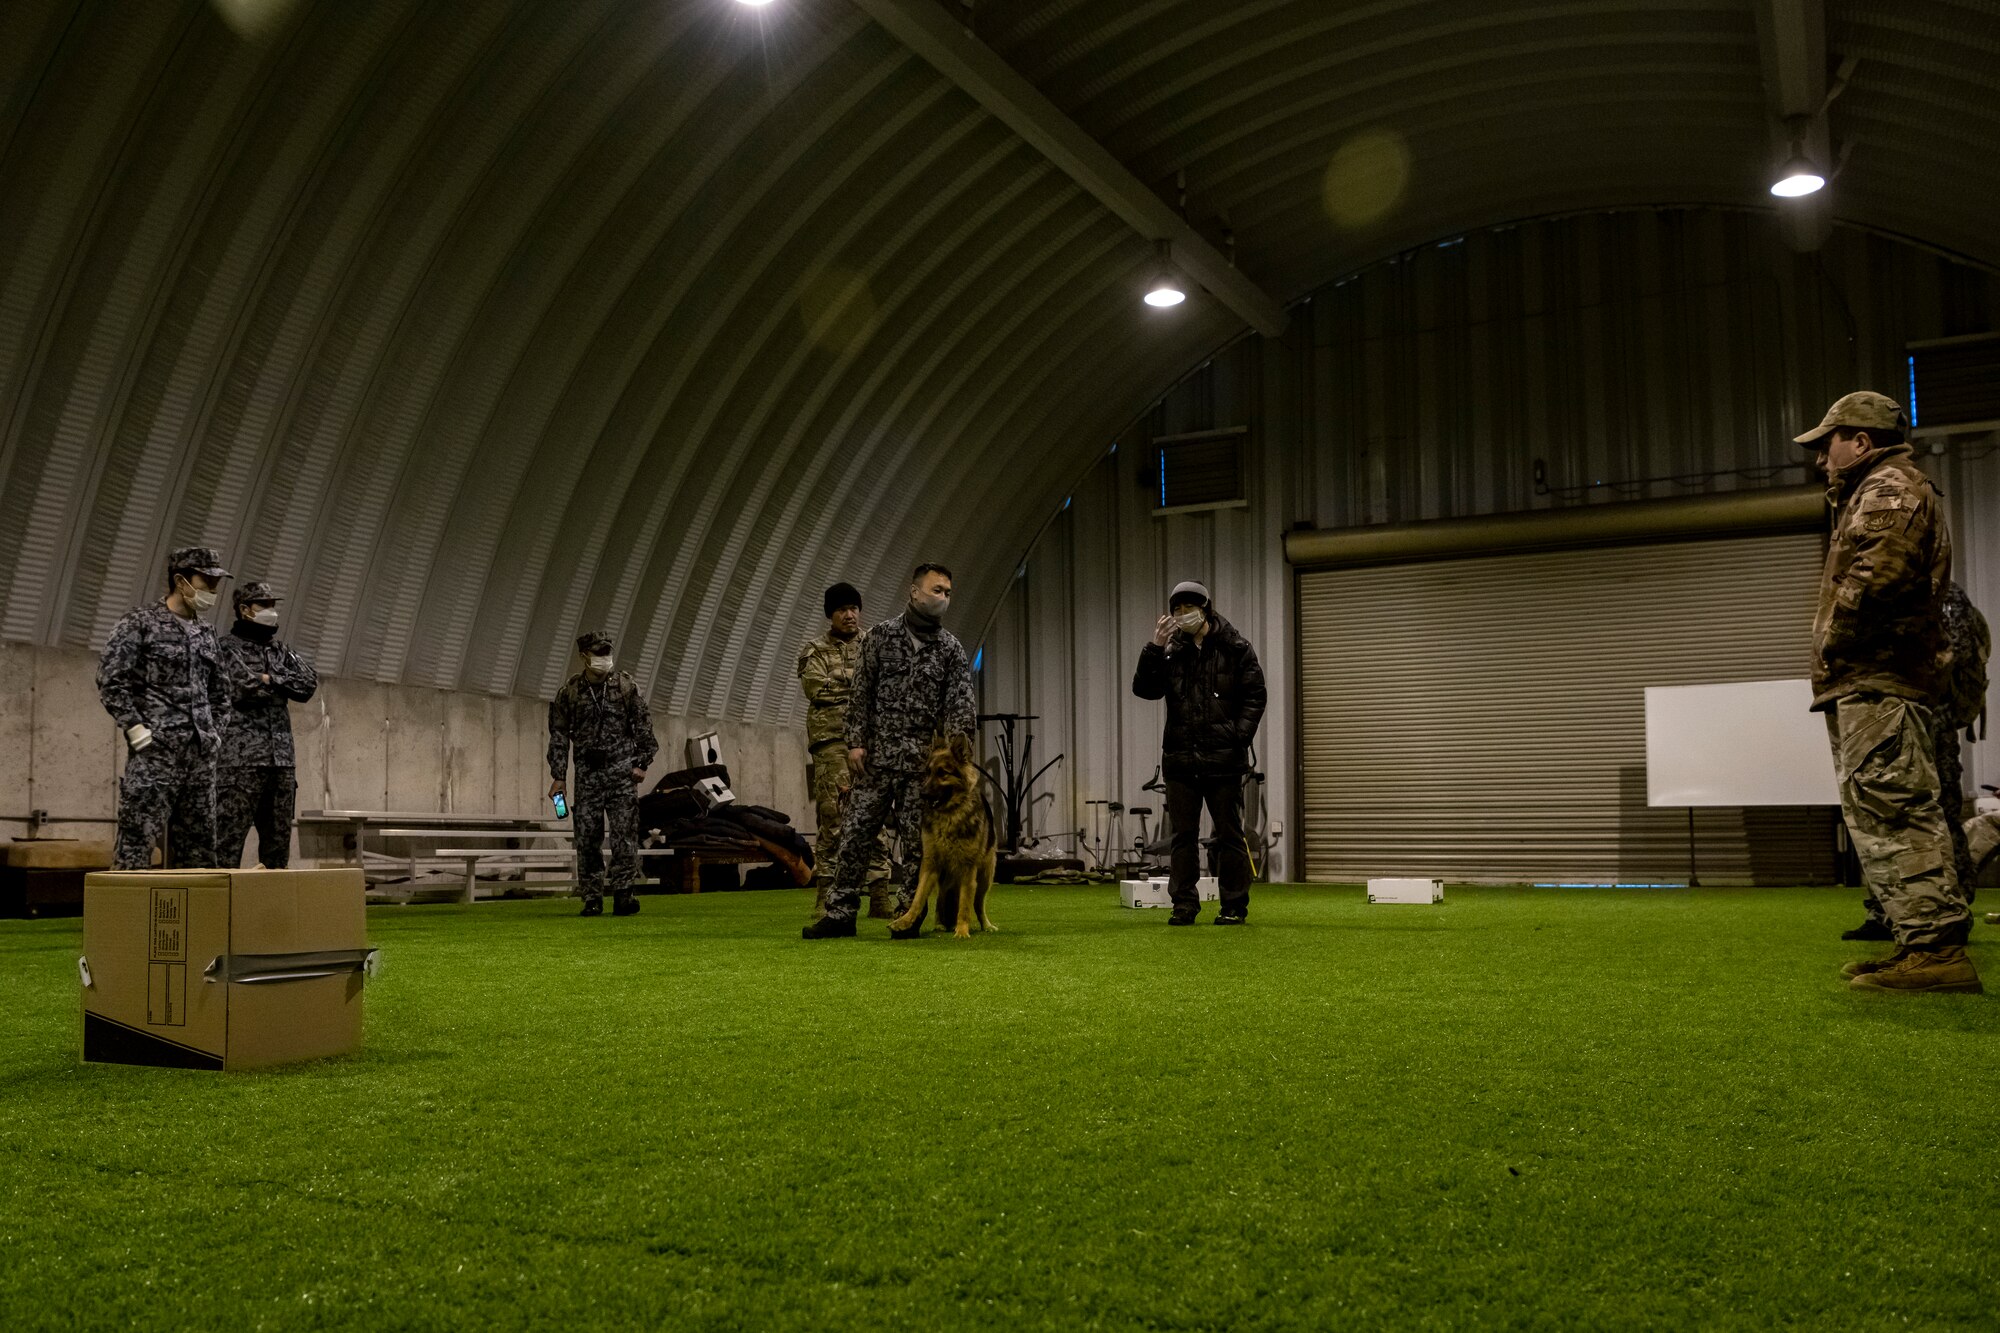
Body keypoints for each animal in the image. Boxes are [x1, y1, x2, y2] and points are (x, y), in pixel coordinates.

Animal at [892, 728, 1000, 932]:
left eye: (942, 773)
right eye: (928, 772)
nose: (922, 794)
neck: (949, 813)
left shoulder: (968, 867)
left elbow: (965, 903)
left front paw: (962, 930)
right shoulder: (930, 864)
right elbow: (918, 897)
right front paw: (905, 920)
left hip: (984, 877)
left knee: (978, 903)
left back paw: (986, 925)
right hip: (947, 877)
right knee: (943, 895)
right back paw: (940, 924)